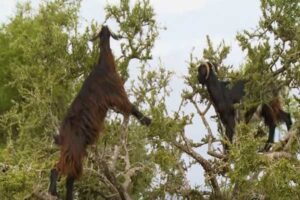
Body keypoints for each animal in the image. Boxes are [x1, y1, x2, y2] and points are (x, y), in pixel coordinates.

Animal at [49, 25, 152, 200]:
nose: (105, 28)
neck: (104, 66)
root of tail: (62, 134)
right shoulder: (117, 93)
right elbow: (132, 107)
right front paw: (147, 120)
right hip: (74, 149)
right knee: (59, 168)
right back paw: (53, 190)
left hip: (77, 151)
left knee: (70, 177)